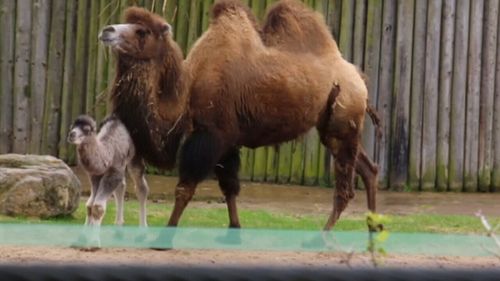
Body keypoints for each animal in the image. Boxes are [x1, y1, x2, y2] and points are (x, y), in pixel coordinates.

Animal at [97, 0, 378, 234]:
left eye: (142, 31)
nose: (106, 31)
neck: (189, 89)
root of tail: (359, 78)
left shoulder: (210, 135)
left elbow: (185, 187)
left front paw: (165, 235)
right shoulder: (228, 140)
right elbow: (229, 187)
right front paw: (234, 230)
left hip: (342, 121)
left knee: (345, 186)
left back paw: (321, 236)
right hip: (335, 127)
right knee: (369, 169)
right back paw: (373, 229)